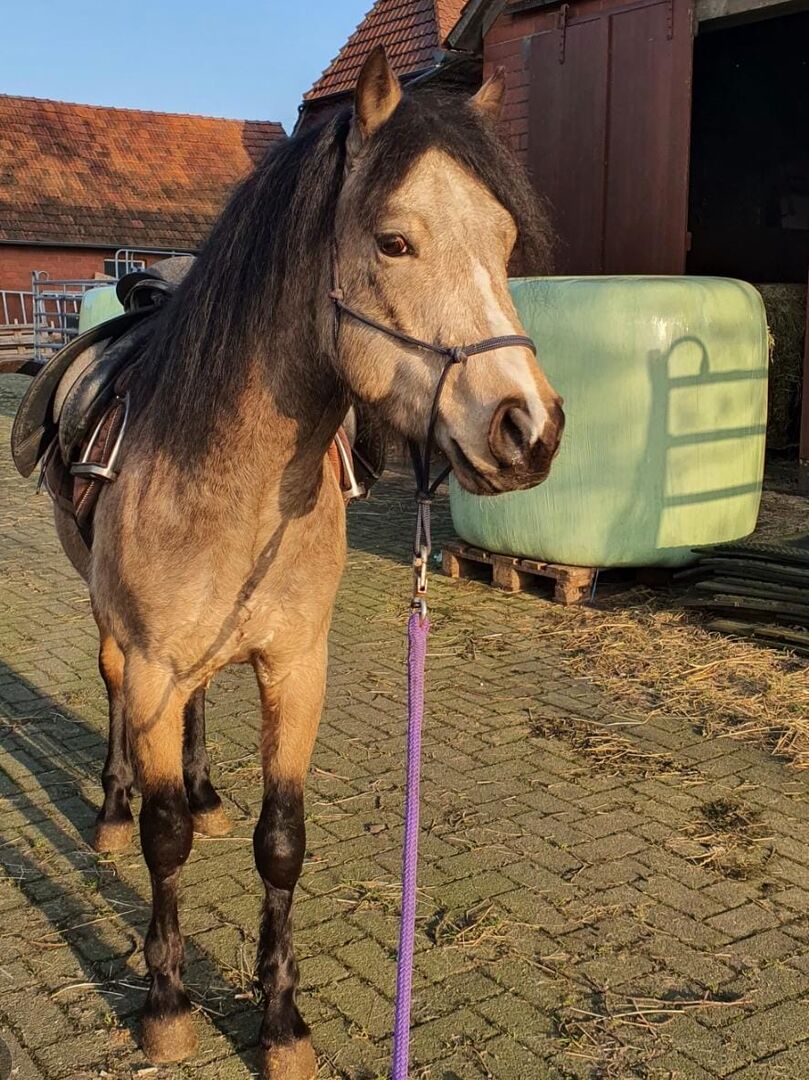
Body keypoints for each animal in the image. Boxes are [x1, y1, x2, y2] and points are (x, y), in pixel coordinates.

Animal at [38, 47, 564, 1077]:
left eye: (503, 240)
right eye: (394, 242)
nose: (527, 428)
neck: (231, 479)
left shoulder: (295, 665)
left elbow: (280, 843)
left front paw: (281, 1020)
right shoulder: (154, 661)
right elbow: (164, 842)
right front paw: (168, 1003)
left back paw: (204, 791)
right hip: (114, 628)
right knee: (113, 695)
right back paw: (114, 807)